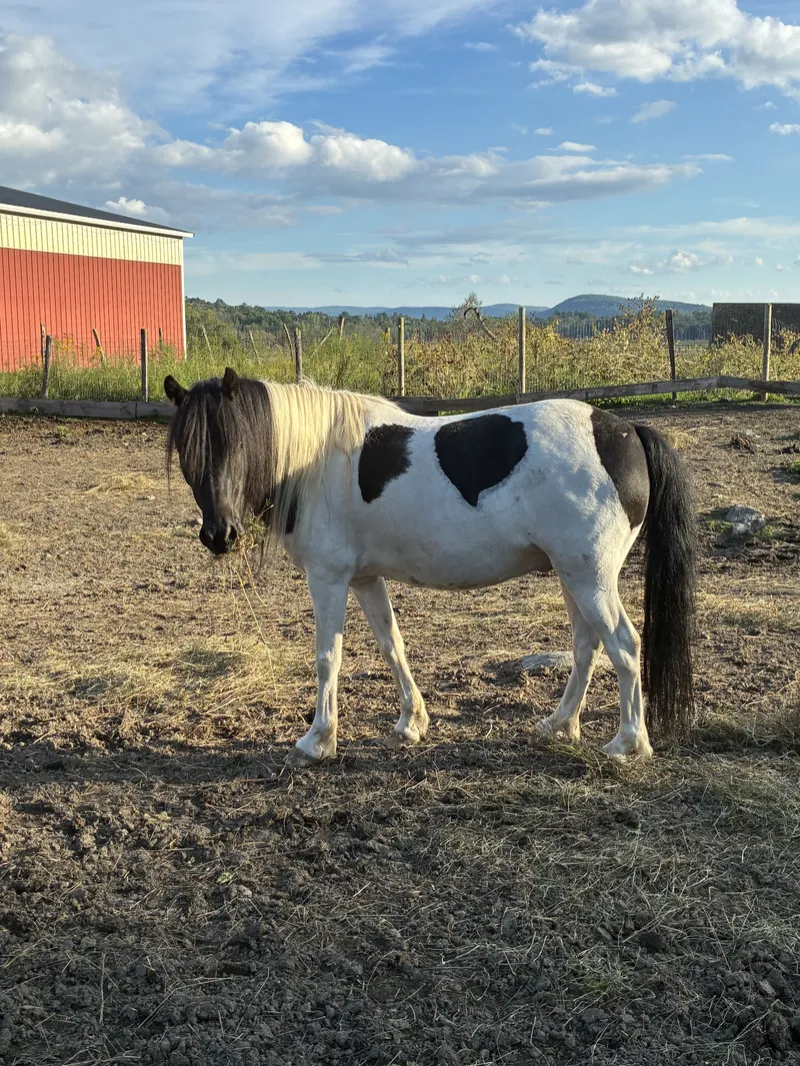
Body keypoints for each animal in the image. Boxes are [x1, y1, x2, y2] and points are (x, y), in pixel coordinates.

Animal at [164, 368, 696, 767]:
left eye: (236, 443)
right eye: (188, 453)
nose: (219, 535)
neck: (315, 461)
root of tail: (626, 433)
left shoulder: (328, 577)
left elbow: (327, 657)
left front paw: (317, 741)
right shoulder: (364, 577)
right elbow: (391, 644)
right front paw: (411, 723)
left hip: (590, 580)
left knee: (624, 646)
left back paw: (628, 743)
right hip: (573, 576)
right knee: (587, 646)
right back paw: (559, 724)